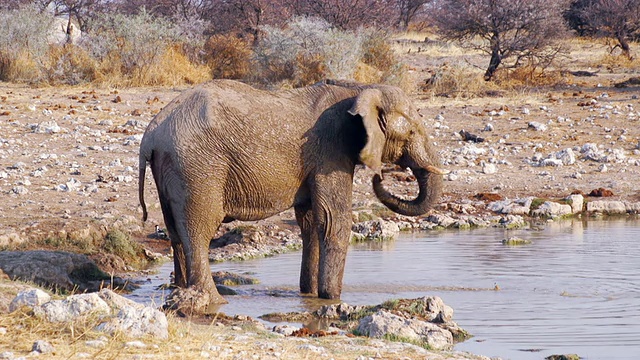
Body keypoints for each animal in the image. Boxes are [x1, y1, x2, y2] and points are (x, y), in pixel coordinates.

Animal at [136, 78, 444, 312]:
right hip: (198, 167)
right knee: (199, 230)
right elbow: (334, 221)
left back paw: (180, 294)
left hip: (172, 168)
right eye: (411, 132)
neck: (360, 89)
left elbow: (311, 222)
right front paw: (332, 300)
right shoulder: (330, 153)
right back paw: (214, 301)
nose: (381, 176)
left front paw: (309, 295)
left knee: (175, 232)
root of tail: (150, 135)